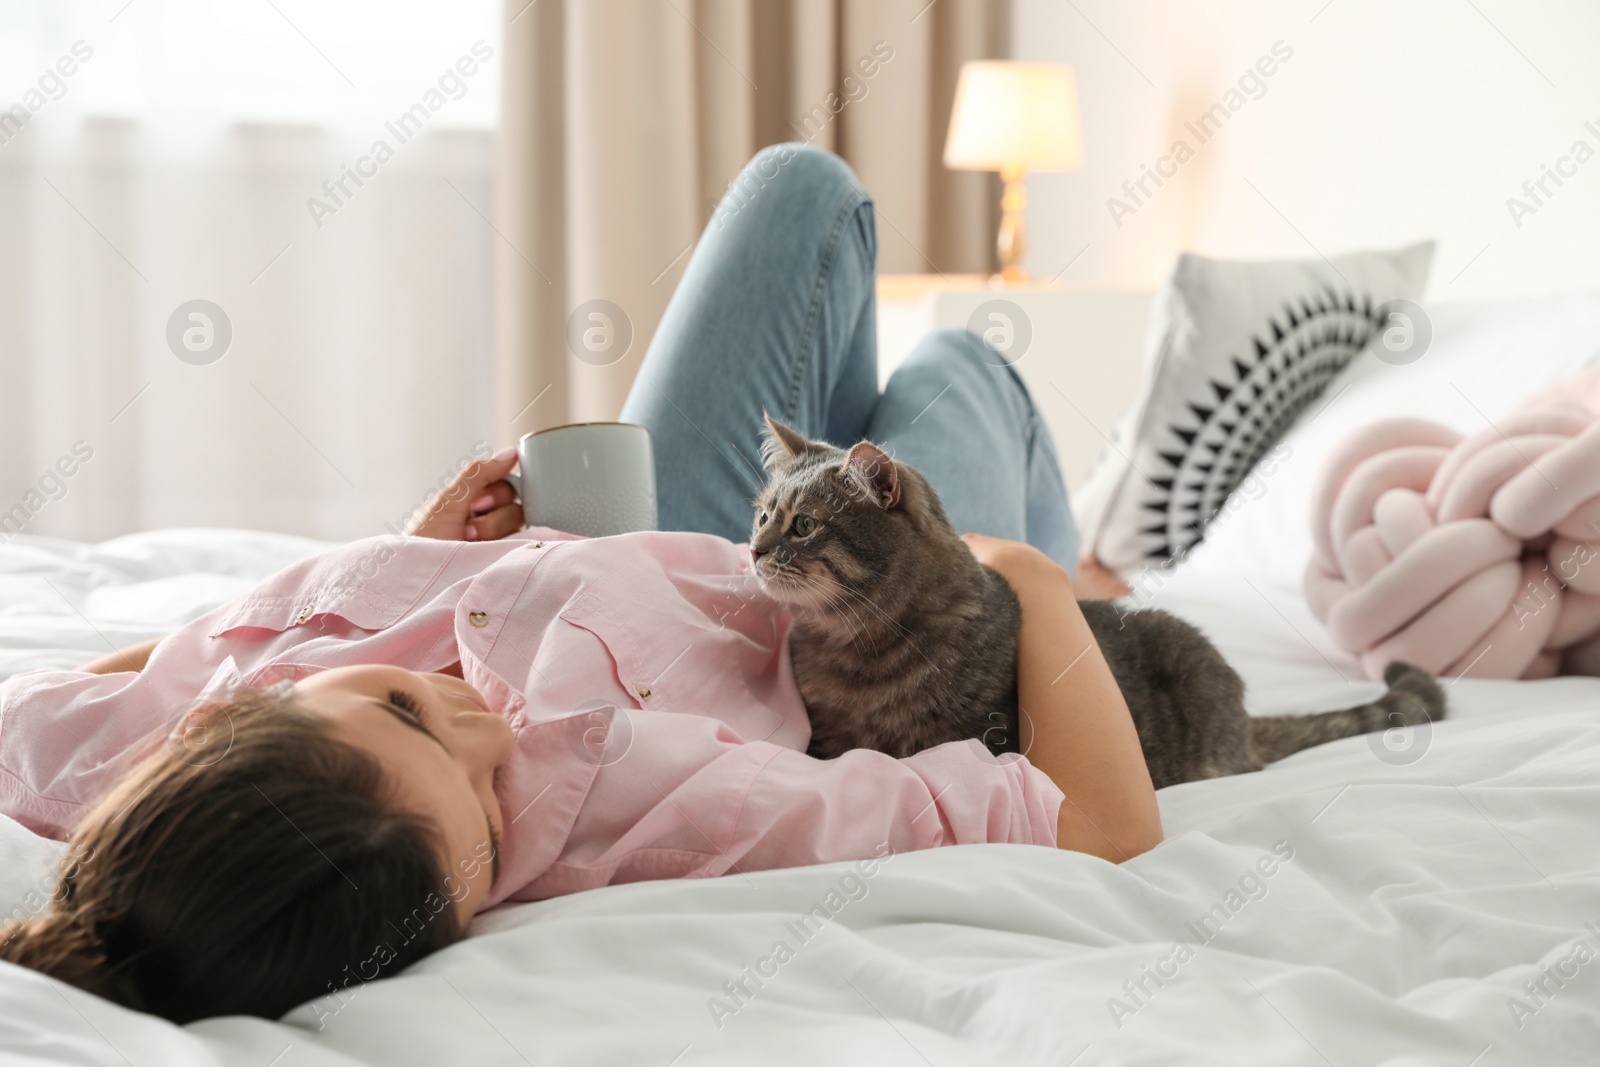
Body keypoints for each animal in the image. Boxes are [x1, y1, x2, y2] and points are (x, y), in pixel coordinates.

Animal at [748, 415, 1452, 793]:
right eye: (761, 514)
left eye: (803, 525)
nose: (752, 549)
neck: (852, 648)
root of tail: (1244, 719)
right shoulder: (828, 736)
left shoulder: (983, 740)